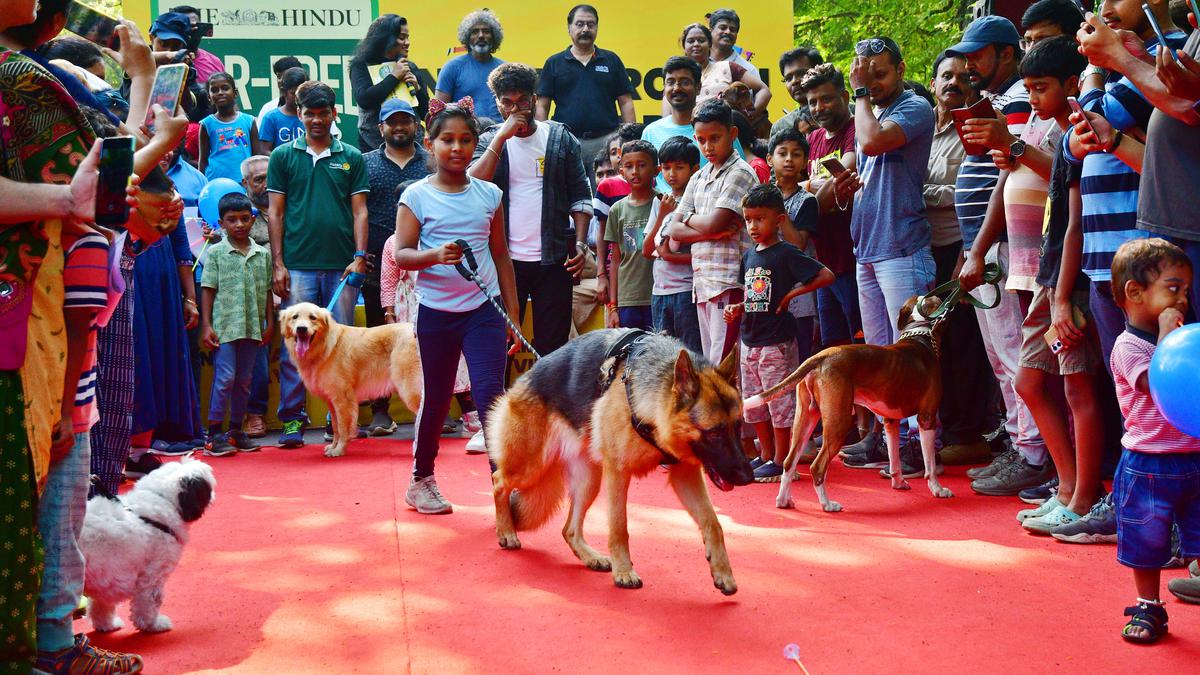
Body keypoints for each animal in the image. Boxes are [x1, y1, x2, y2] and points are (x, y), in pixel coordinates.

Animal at [80, 456, 218, 629]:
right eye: (208, 489)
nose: (214, 496)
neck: (163, 501)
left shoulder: (106, 578)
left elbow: (101, 605)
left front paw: (106, 625)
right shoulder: (153, 573)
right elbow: (150, 601)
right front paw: (154, 624)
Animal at [278, 302, 424, 454]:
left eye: (313, 317)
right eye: (295, 317)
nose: (301, 328)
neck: (326, 347)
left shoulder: (343, 399)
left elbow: (343, 428)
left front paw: (338, 450)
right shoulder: (332, 401)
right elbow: (335, 427)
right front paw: (333, 446)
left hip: (410, 390)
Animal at [484, 329, 748, 590]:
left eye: (738, 426)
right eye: (714, 433)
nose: (747, 477)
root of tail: (524, 378)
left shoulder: (685, 474)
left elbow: (713, 523)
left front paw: (723, 571)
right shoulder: (618, 472)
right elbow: (620, 526)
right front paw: (624, 571)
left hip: (588, 482)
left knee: (569, 530)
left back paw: (590, 557)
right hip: (530, 466)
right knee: (498, 481)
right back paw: (506, 531)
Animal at [744, 294, 950, 509]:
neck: (919, 334)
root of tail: (820, 356)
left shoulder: (890, 421)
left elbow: (894, 459)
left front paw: (899, 483)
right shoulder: (927, 418)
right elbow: (930, 464)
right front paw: (937, 489)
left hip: (805, 419)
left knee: (789, 461)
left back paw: (784, 500)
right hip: (838, 423)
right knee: (817, 466)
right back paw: (827, 505)